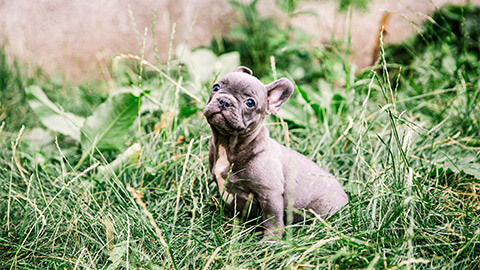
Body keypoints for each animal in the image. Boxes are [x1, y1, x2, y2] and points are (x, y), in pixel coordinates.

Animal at [203, 66, 348, 239]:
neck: (228, 144)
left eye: (250, 103)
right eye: (216, 87)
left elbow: (272, 218)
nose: (225, 101)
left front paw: (271, 240)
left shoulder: (269, 193)